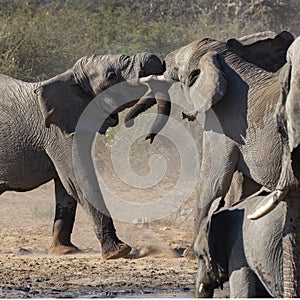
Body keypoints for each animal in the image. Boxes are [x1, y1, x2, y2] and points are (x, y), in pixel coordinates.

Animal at [0, 52, 169, 258]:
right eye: (111, 76)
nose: (147, 137)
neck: (69, 77)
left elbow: (66, 189)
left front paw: (64, 251)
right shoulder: (58, 132)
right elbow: (77, 180)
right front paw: (118, 252)